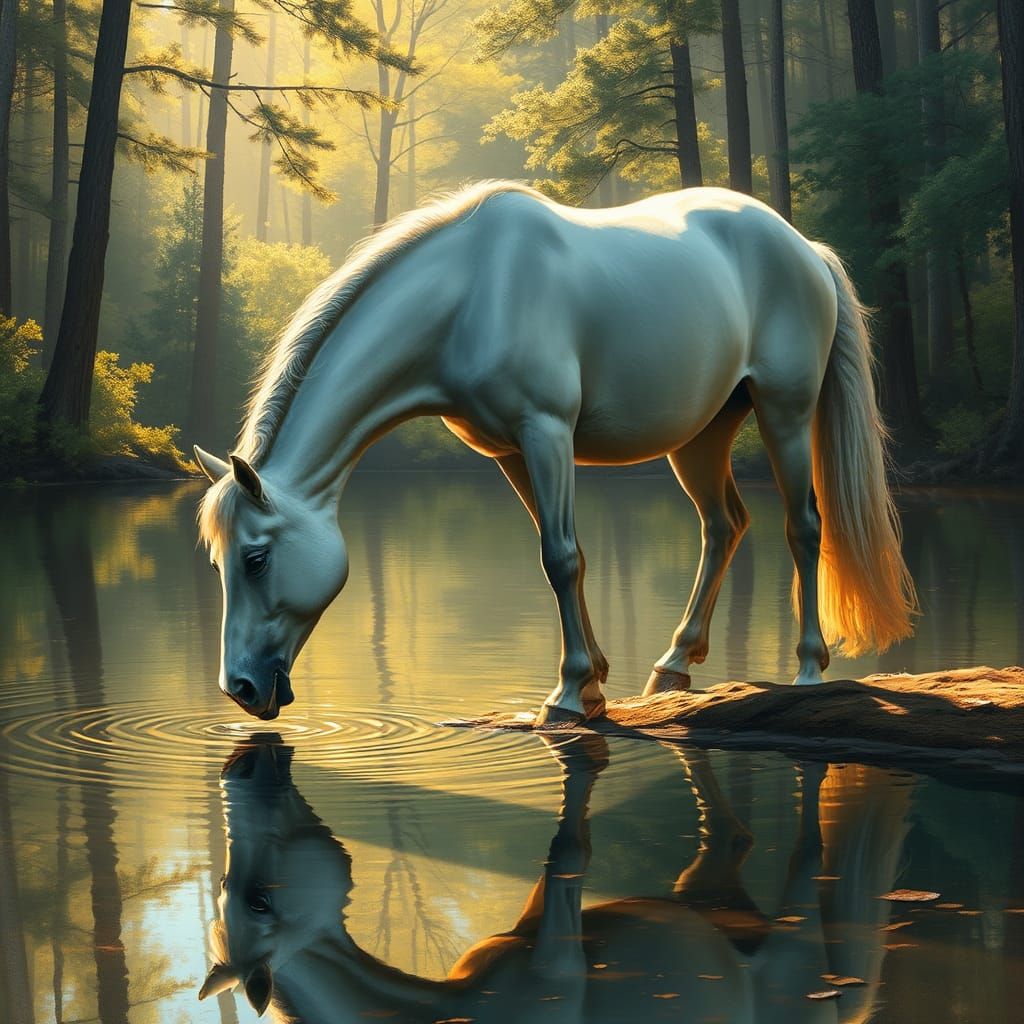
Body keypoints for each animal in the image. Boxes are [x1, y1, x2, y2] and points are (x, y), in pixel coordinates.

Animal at [194, 181, 917, 724]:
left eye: (256, 558)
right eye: (218, 562)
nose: (241, 690)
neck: (469, 295)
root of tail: (804, 247)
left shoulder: (546, 432)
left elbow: (561, 558)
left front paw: (568, 695)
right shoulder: (511, 452)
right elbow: (564, 554)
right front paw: (595, 682)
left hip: (784, 413)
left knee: (803, 527)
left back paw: (809, 670)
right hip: (703, 434)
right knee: (724, 526)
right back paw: (673, 666)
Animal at [198, 734, 910, 1022]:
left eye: (257, 901)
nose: (246, 763)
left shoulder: (556, 960)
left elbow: (570, 850)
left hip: (793, 942)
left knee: (807, 869)